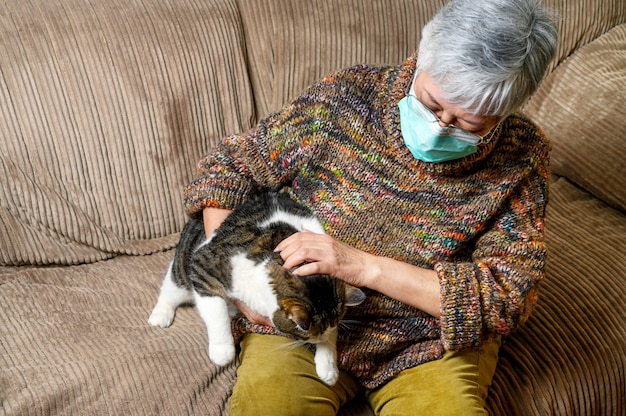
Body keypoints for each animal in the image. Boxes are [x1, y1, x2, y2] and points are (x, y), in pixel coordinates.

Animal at [148, 190, 364, 386]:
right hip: (183, 269)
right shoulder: (204, 265)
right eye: (310, 334)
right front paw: (222, 350)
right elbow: (216, 311)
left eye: (326, 330)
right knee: (170, 289)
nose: (320, 338)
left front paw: (328, 367)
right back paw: (160, 316)